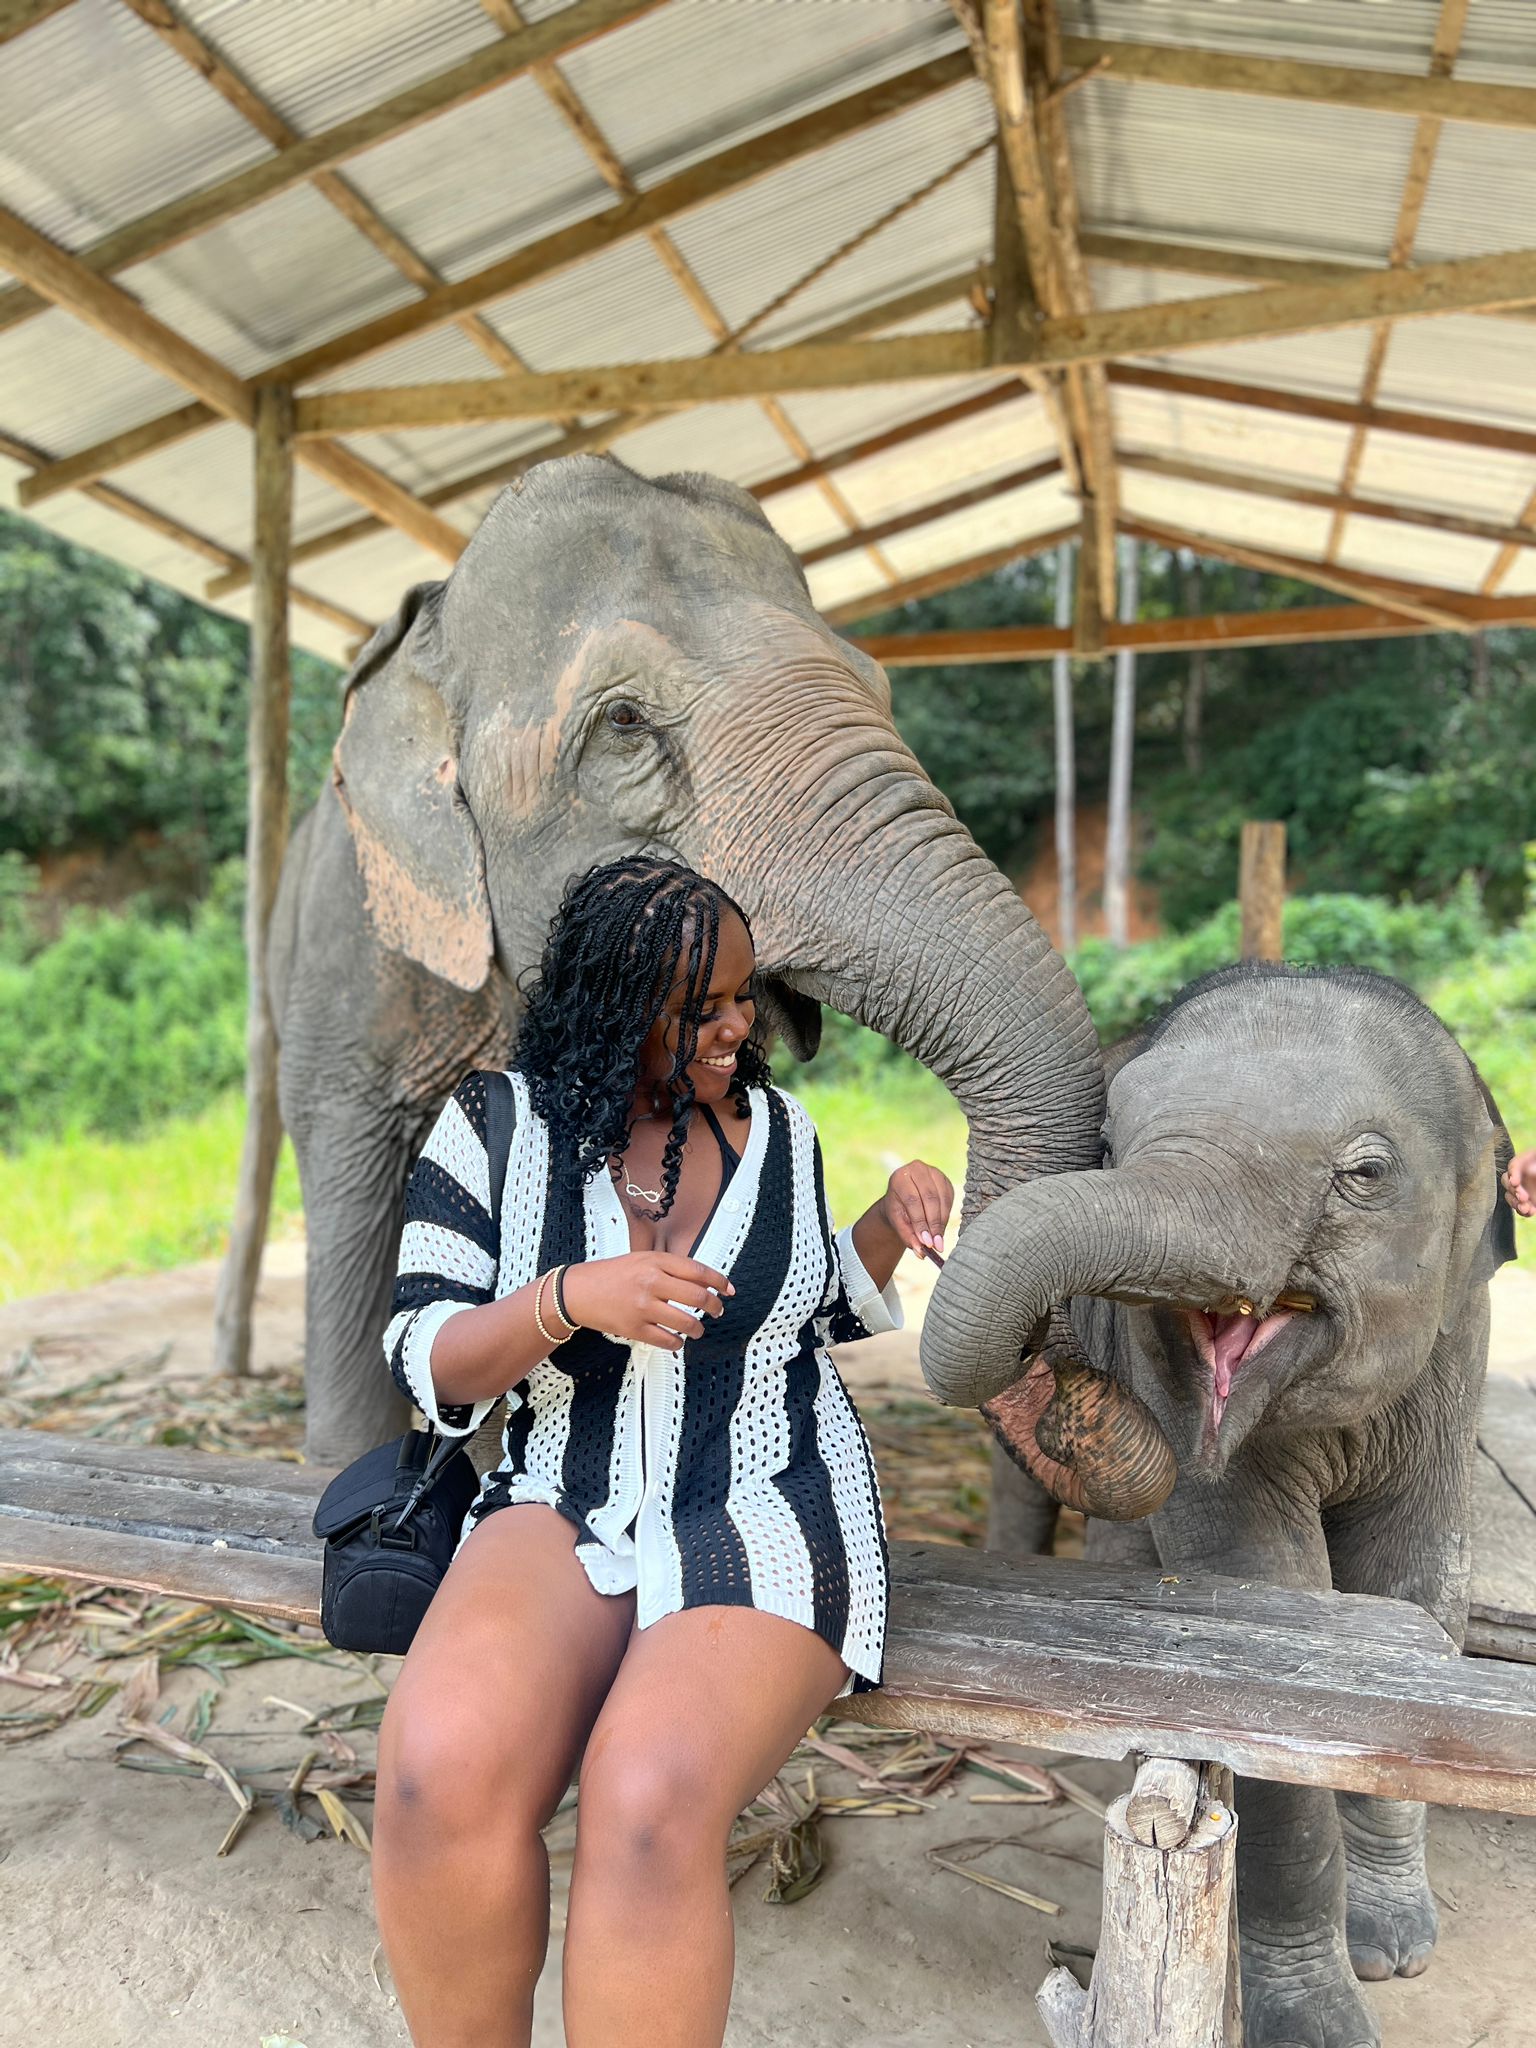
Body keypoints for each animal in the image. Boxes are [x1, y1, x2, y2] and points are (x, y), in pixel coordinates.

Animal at [921, 966, 1523, 2048]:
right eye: (1105, 1147)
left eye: (1366, 1171)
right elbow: (1259, 1593)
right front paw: (1321, 2022)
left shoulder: (1457, 1345)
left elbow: (1418, 1588)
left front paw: (1396, 1949)